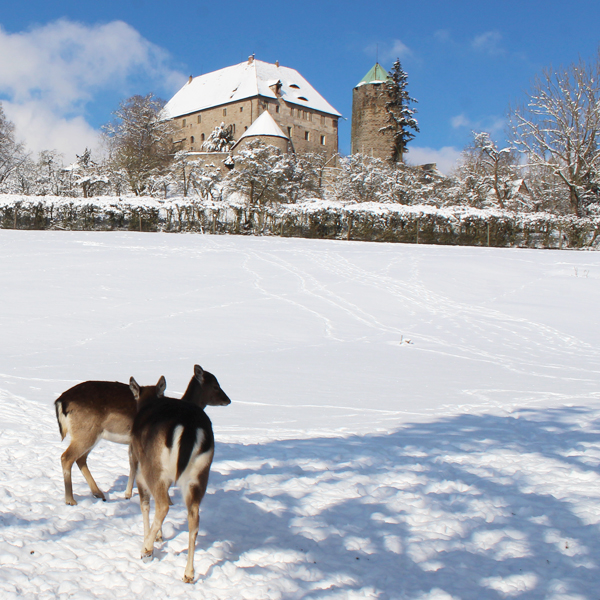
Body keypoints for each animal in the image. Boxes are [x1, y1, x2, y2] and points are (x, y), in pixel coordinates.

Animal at [53, 366, 216, 506]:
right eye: (215, 384)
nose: (223, 398)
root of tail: (61, 402)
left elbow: (133, 464)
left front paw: (128, 493)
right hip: (86, 433)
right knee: (67, 457)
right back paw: (71, 499)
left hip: (89, 435)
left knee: (80, 459)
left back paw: (99, 493)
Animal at [130, 366, 231, 580]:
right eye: (215, 385)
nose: (227, 399)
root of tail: (190, 428)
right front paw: (159, 536)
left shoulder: (138, 466)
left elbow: (145, 504)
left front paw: (151, 541)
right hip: (200, 474)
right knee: (194, 519)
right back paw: (189, 574)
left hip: (153, 465)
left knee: (162, 505)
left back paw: (146, 550)